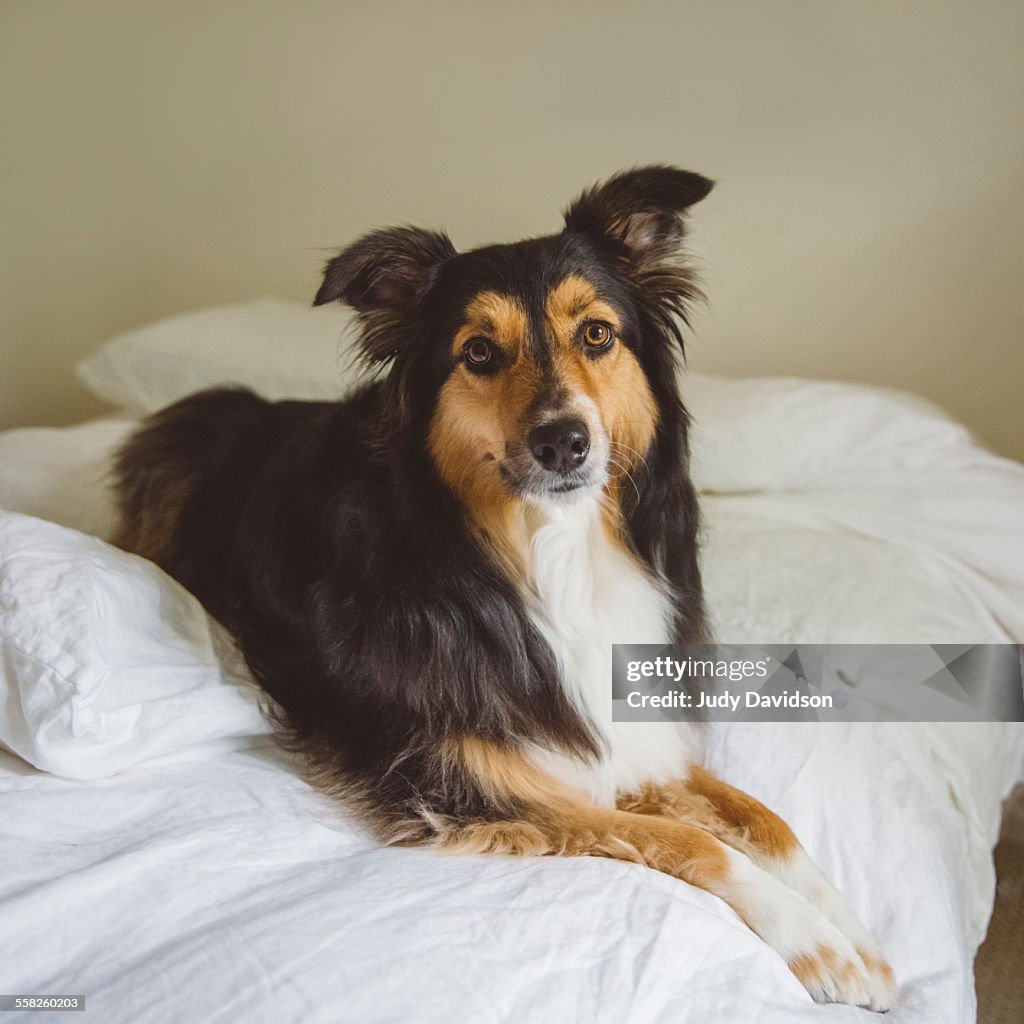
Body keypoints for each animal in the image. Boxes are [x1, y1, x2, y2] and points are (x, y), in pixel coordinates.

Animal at [114, 165, 897, 1007]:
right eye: (480, 352)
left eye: (597, 334)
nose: (563, 442)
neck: (552, 554)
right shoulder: (480, 782)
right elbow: (695, 841)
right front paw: (817, 943)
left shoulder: (617, 732)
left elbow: (762, 818)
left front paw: (855, 931)